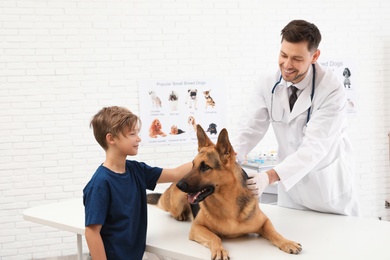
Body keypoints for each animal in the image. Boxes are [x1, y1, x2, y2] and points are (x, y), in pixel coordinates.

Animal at [148, 125, 304, 258]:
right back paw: (180, 215)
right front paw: (219, 249)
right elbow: (215, 236)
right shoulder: (197, 227)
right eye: (192, 165)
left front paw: (287, 242)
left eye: (205, 167)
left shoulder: (264, 222)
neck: (227, 202)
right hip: (177, 203)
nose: (180, 184)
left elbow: (275, 233)